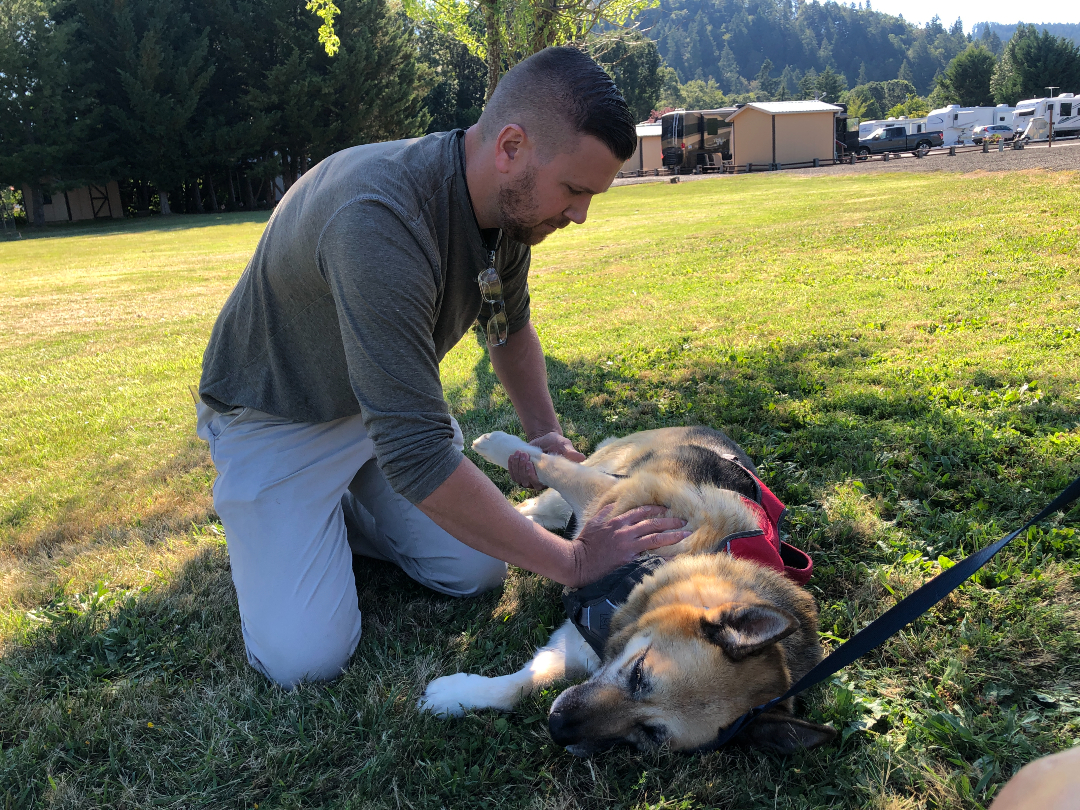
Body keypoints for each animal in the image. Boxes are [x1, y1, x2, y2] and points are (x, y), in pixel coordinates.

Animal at [419, 427, 833, 760]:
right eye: (638, 675)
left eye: (648, 734)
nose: (557, 729)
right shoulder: (614, 499)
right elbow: (549, 465)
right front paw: (496, 444)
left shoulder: (578, 650)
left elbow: (522, 683)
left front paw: (454, 696)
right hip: (606, 474)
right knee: (542, 488)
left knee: (530, 515)